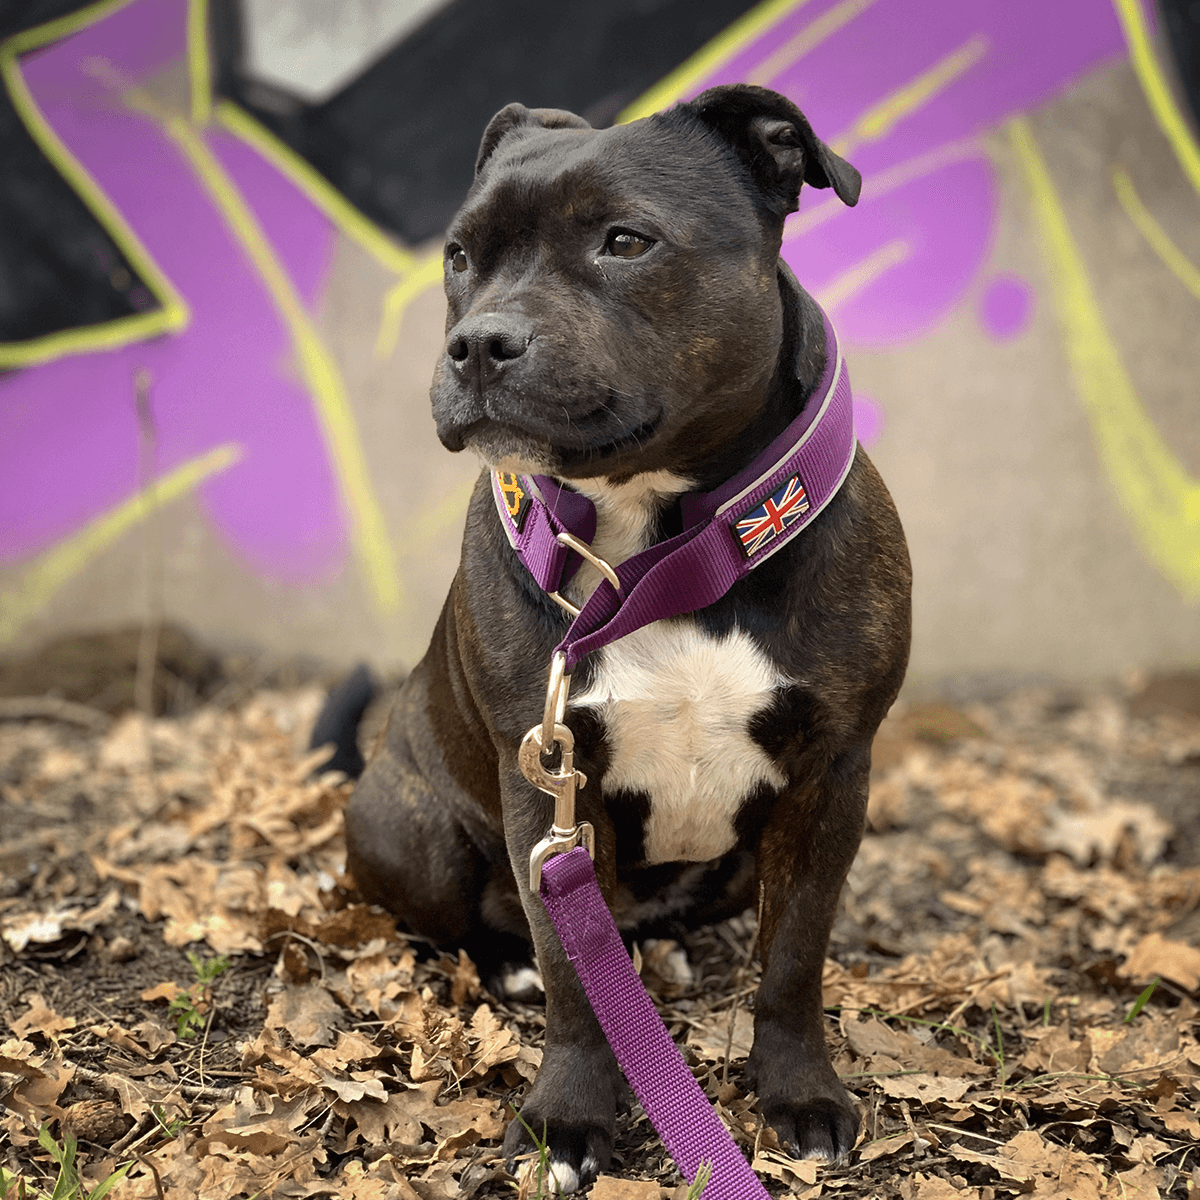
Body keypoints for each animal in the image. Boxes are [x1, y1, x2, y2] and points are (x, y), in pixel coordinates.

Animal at [343, 84, 912, 1190]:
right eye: (460, 256)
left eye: (624, 241)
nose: (479, 342)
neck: (657, 548)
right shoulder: (547, 787)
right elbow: (575, 979)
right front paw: (566, 1117)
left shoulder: (832, 775)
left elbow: (794, 959)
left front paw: (799, 1094)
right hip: (411, 827)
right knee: (477, 925)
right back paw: (514, 964)